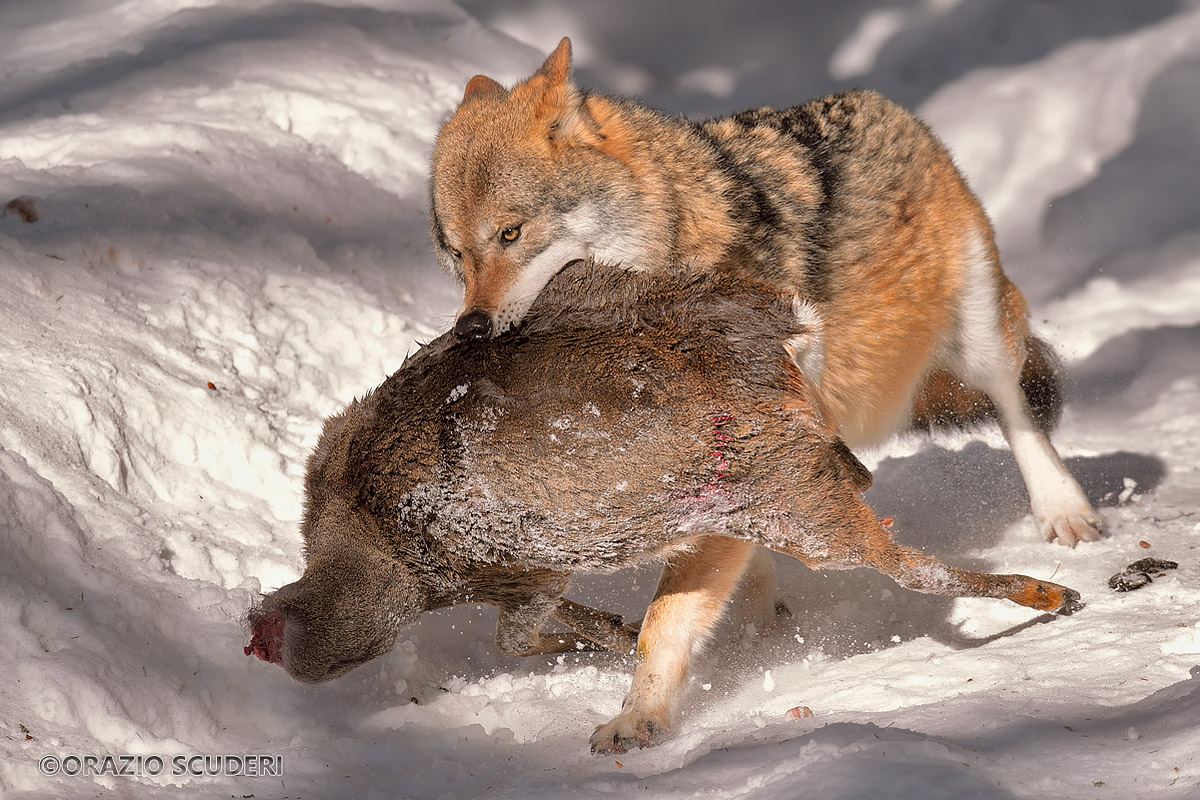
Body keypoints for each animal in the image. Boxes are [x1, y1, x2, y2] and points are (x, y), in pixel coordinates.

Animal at [246, 261, 1079, 753]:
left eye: (274, 639)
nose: (252, 639)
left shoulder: (513, 561)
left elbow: (522, 635)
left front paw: (603, 643)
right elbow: (584, 628)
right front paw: (618, 653)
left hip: (790, 502)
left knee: (907, 564)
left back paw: (1045, 592)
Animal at [428, 38, 1101, 549]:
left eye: (511, 233)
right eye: (457, 254)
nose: (471, 327)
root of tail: (886, 107)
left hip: (978, 338)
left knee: (1017, 409)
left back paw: (1063, 511)